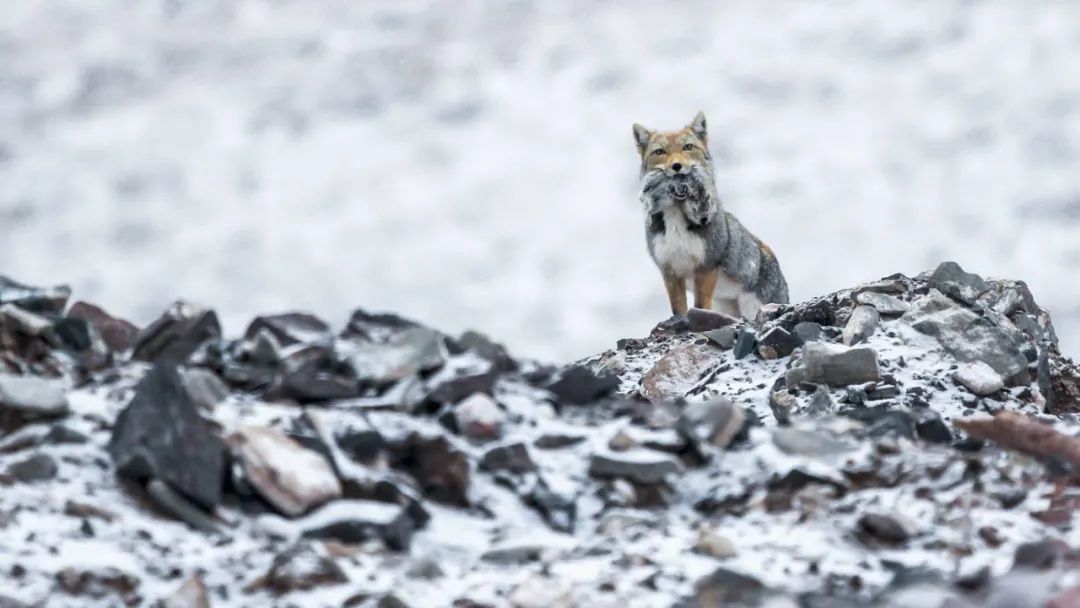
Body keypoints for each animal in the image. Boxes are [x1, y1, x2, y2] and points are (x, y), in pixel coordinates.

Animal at [630, 111, 786, 319]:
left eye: (688, 147)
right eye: (660, 152)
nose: (677, 166)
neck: (676, 224)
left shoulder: (706, 267)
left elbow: (700, 305)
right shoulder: (670, 271)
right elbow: (679, 308)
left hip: (751, 307)